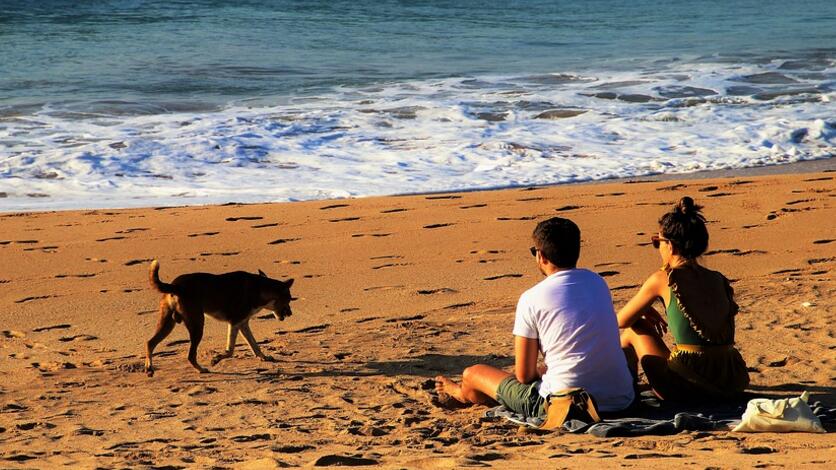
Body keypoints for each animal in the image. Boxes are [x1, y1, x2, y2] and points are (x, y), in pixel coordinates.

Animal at [146, 258, 294, 376]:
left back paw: (149, 369)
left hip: (167, 323)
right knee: (190, 355)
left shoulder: (242, 324)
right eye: (289, 299)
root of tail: (175, 286)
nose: (291, 313)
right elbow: (230, 350)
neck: (260, 288)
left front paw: (264, 357)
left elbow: (254, 345)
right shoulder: (234, 322)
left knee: (150, 343)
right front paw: (216, 359)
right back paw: (201, 370)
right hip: (197, 325)